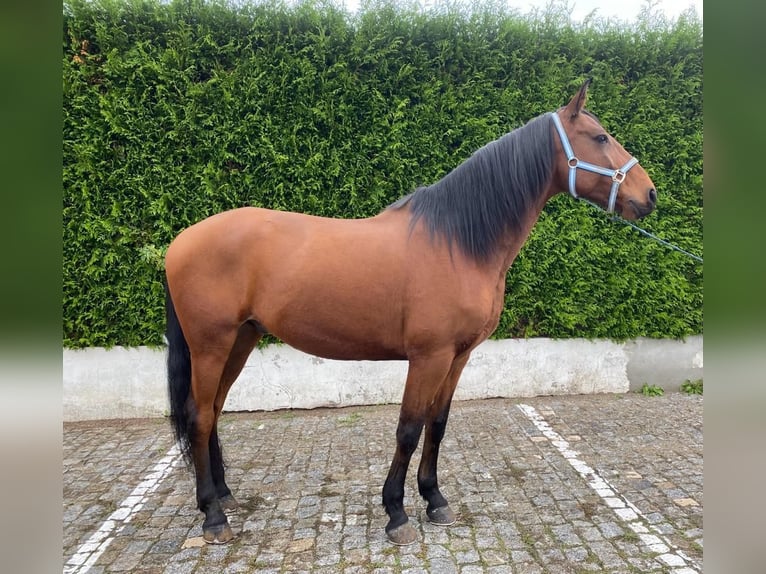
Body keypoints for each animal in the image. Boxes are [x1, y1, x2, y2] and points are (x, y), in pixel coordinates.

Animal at [165, 80, 656, 544]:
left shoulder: (458, 356)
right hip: (211, 345)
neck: (457, 243)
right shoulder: (428, 357)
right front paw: (396, 513)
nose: (649, 195)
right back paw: (213, 516)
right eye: (600, 137)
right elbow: (408, 428)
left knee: (214, 409)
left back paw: (224, 495)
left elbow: (436, 425)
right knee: (200, 416)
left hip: (241, 339)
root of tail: (180, 242)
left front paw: (434, 499)